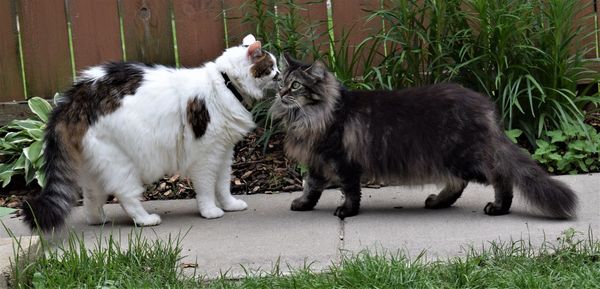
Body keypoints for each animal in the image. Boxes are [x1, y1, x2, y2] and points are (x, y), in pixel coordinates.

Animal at [23, 35, 282, 231]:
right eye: (272, 68)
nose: (281, 75)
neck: (225, 84)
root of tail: (74, 97)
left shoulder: (224, 153)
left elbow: (223, 185)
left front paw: (229, 205)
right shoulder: (206, 157)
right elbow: (207, 188)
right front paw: (210, 211)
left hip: (95, 168)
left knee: (90, 199)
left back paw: (99, 220)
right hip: (121, 165)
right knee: (126, 197)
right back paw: (146, 220)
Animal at [270, 54, 576, 219]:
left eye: (295, 85)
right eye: (280, 81)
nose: (281, 92)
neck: (310, 116)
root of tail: (485, 106)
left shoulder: (342, 161)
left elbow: (350, 191)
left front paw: (346, 211)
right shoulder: (317, 161)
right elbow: (311, 187)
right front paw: (303, 204)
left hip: (465, 156)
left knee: (499, 176)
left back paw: (499, 207)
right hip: (451, 159)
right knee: (458, 183)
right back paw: (437, 202)